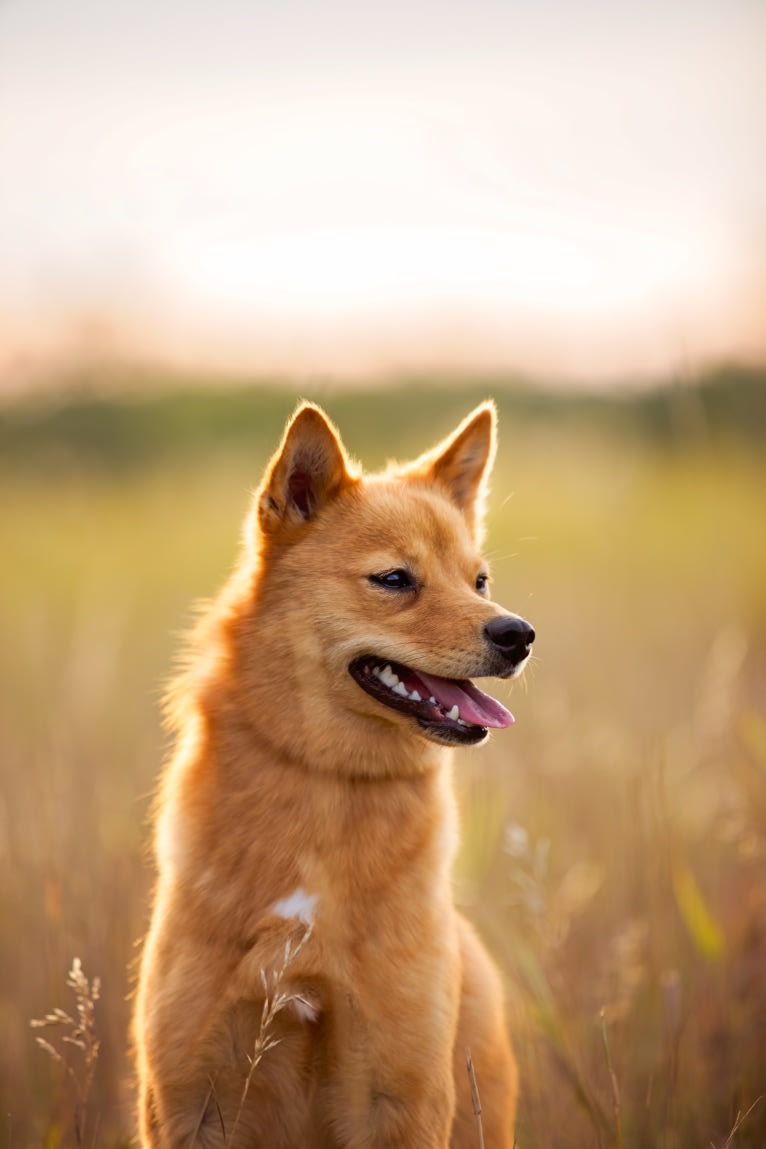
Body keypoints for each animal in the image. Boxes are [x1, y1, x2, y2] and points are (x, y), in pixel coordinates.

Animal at [134, 399, 537, 1144]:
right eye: (395, 579)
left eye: (480, 581)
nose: (518, 635)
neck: (326, 782)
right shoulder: (186, 1097)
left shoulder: (401, 1092)